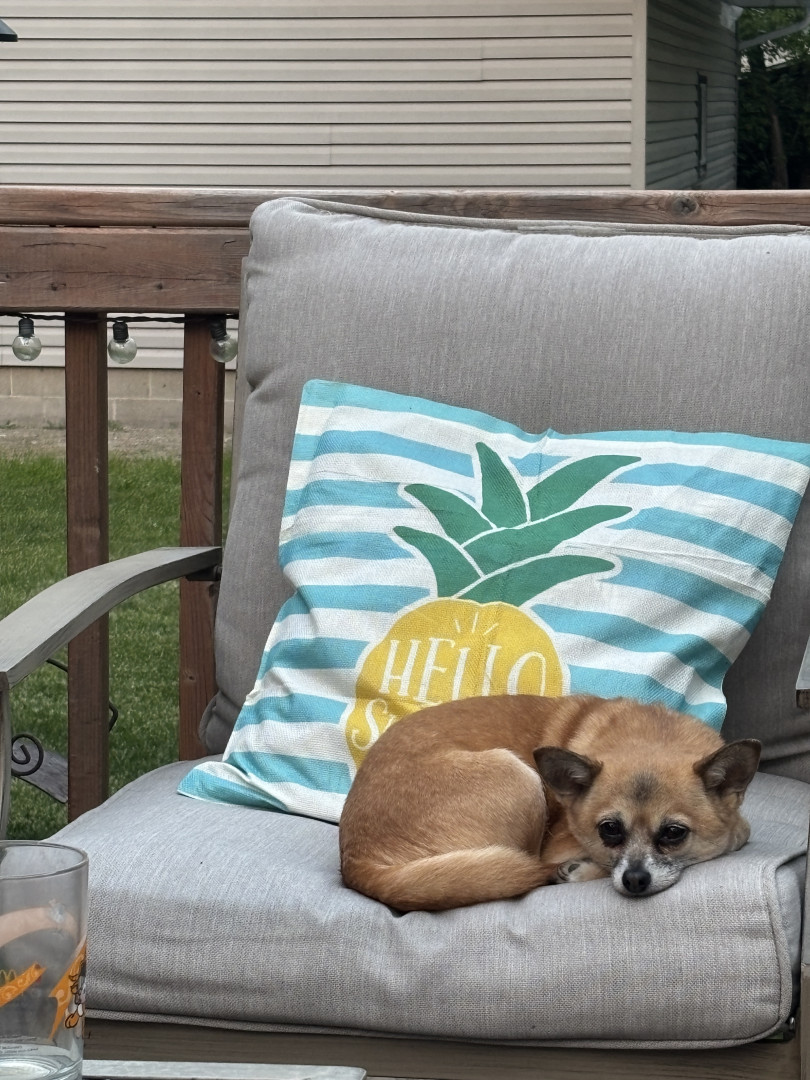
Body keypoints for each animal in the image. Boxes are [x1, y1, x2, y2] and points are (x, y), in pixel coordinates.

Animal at [339, 694, 760, 911]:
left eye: (674, 833)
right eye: (609, 830)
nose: (635, 880)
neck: (654, 736)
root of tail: (355, 862)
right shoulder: (560, 844)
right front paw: (582, 868)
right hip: (518, 778)